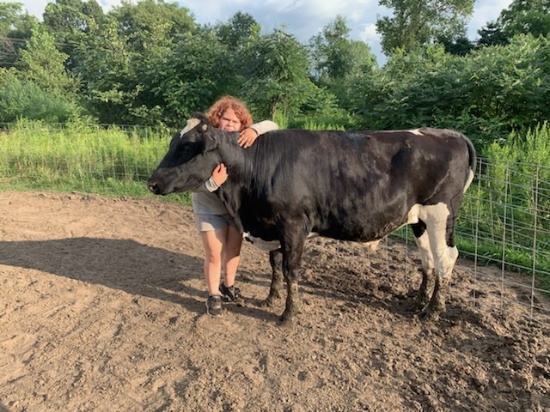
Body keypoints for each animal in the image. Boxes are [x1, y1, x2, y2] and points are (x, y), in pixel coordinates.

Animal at [148, 112, 478, 326]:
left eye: (187, 147)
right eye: (173, 143)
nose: (152, 182)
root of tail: (452, 134)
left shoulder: (294, 224)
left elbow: (290, 270)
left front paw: (287, 315)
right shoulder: (272, 226)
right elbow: (274, 265)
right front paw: (270, 299)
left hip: (440, 214)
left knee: (446, 258)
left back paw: (432, 313)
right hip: (419, 219)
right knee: (428, 259)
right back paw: (417, 303)